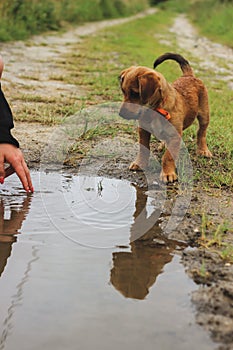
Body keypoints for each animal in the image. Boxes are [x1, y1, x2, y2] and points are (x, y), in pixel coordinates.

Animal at [119, 52, 212, 183]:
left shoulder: (174, 135)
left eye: (135, 93)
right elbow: (143, 149)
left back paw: (203, 150)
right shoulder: (143, 131)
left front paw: (168, 173)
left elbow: (168, 156)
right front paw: (140, 163)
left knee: (201, 133)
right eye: (123, 91)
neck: (155, 109)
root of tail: (189, 76)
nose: (121, 114)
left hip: (204, 114)